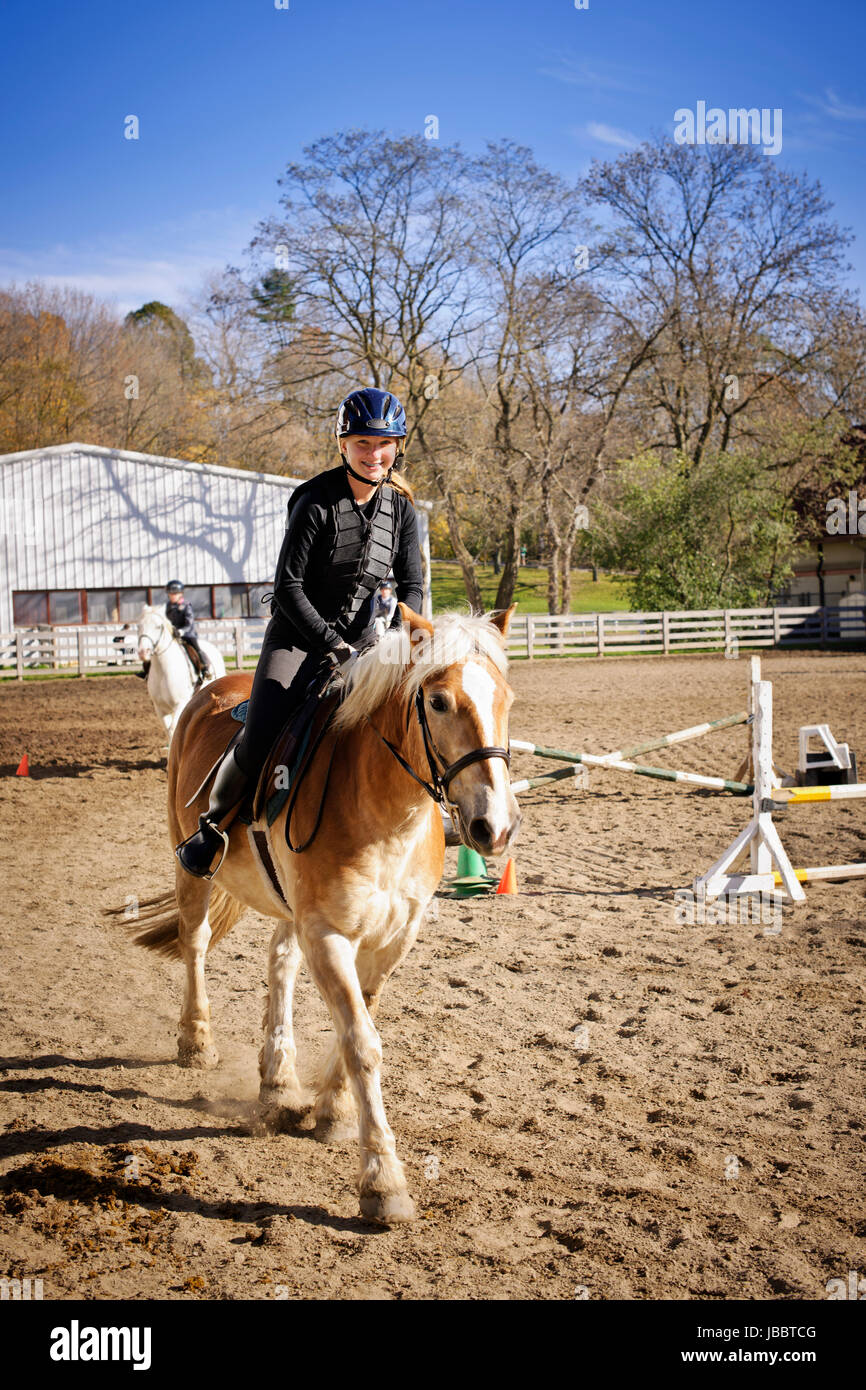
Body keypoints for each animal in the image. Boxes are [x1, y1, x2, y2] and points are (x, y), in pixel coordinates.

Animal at [136, 605, 225, 742]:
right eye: (139, 626)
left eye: (158, 626)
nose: (142, 652)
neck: (163, 670)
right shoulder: (159, 708)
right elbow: (168, 730)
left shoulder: (179, 704)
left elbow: (174, 728)